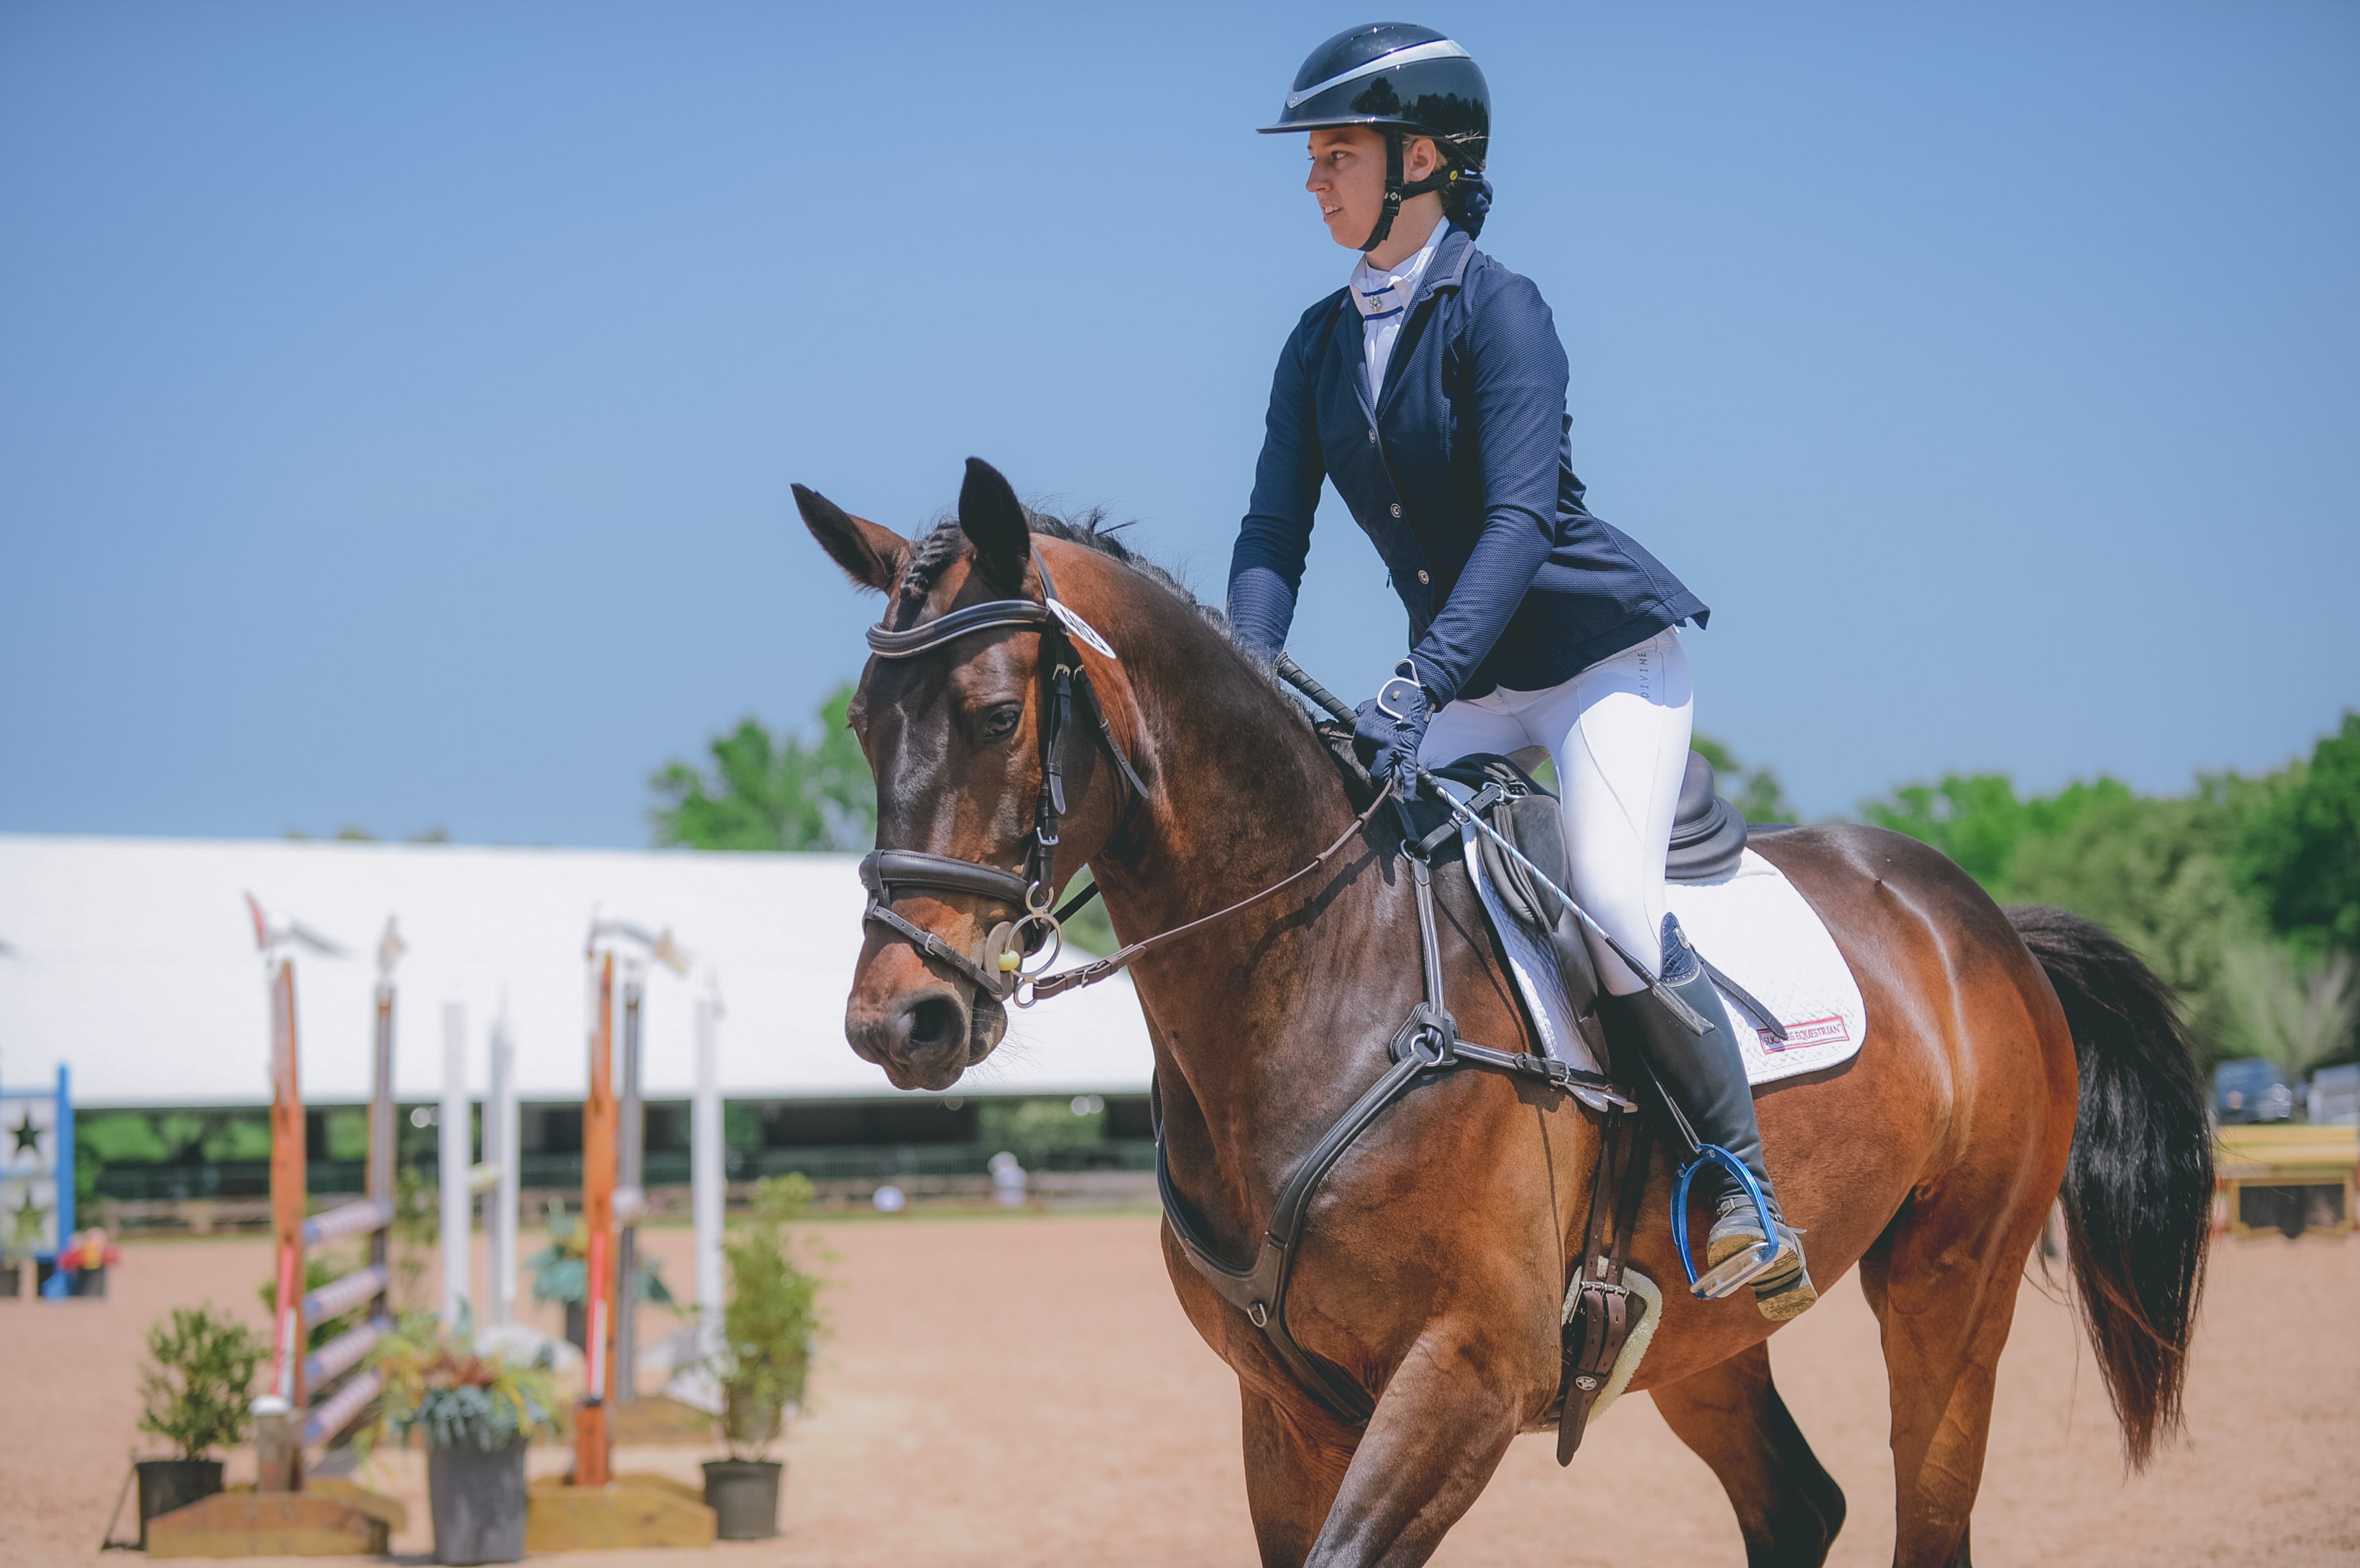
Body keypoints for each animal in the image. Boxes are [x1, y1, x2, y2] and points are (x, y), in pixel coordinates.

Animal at [792, 460, 2209, 1556]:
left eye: (992, 716)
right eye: (862, 724)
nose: (896, 1023)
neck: (1318, 982)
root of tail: (1982, 923)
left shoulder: (1463, 1376)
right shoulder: (1285, 1410)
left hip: (1949, 1286)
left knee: (1930, 1505)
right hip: (1700, 1336)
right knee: (1798, 1506)